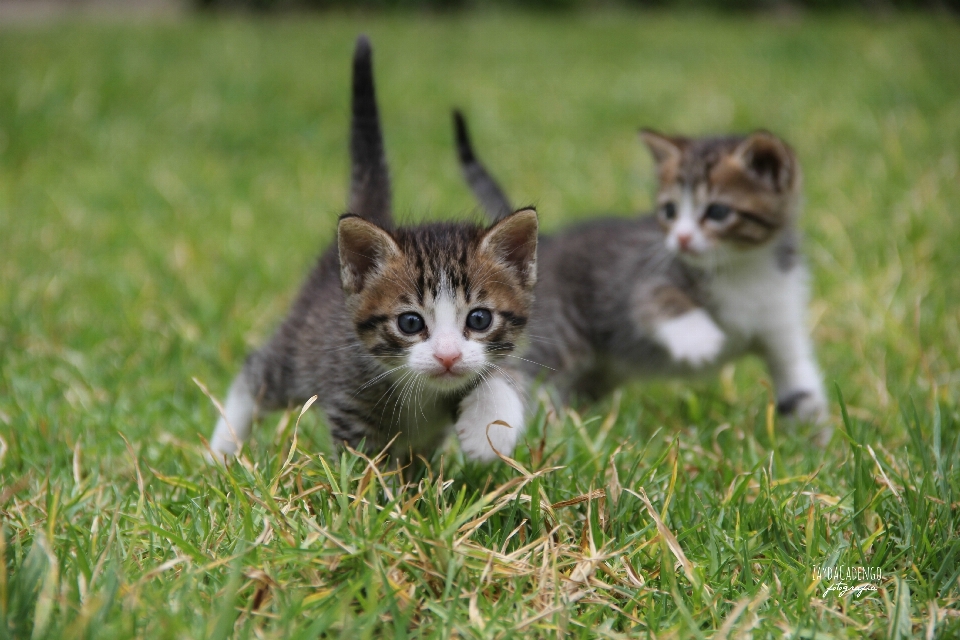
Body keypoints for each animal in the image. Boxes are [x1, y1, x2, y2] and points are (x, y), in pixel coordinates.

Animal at [206, 37, 536, 462]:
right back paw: (220, 451)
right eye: (410, 323)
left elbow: (508, 375)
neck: (423, 390)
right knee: (255, 374)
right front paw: (371, 483)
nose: (447, 356)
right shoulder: (348, 396)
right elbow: (362, 461)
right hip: (299, 353)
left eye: (479, 319)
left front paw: (488, 428)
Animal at [454, 112, 828, 436]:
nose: (681, 239)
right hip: (559, 334)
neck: (744, 267)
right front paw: (701, 340)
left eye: (718, 212)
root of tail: (544, 242)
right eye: (670, 211)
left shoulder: (780, 319)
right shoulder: (645, 277)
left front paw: (816, 442)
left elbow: (799, 384)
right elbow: (653, 300)